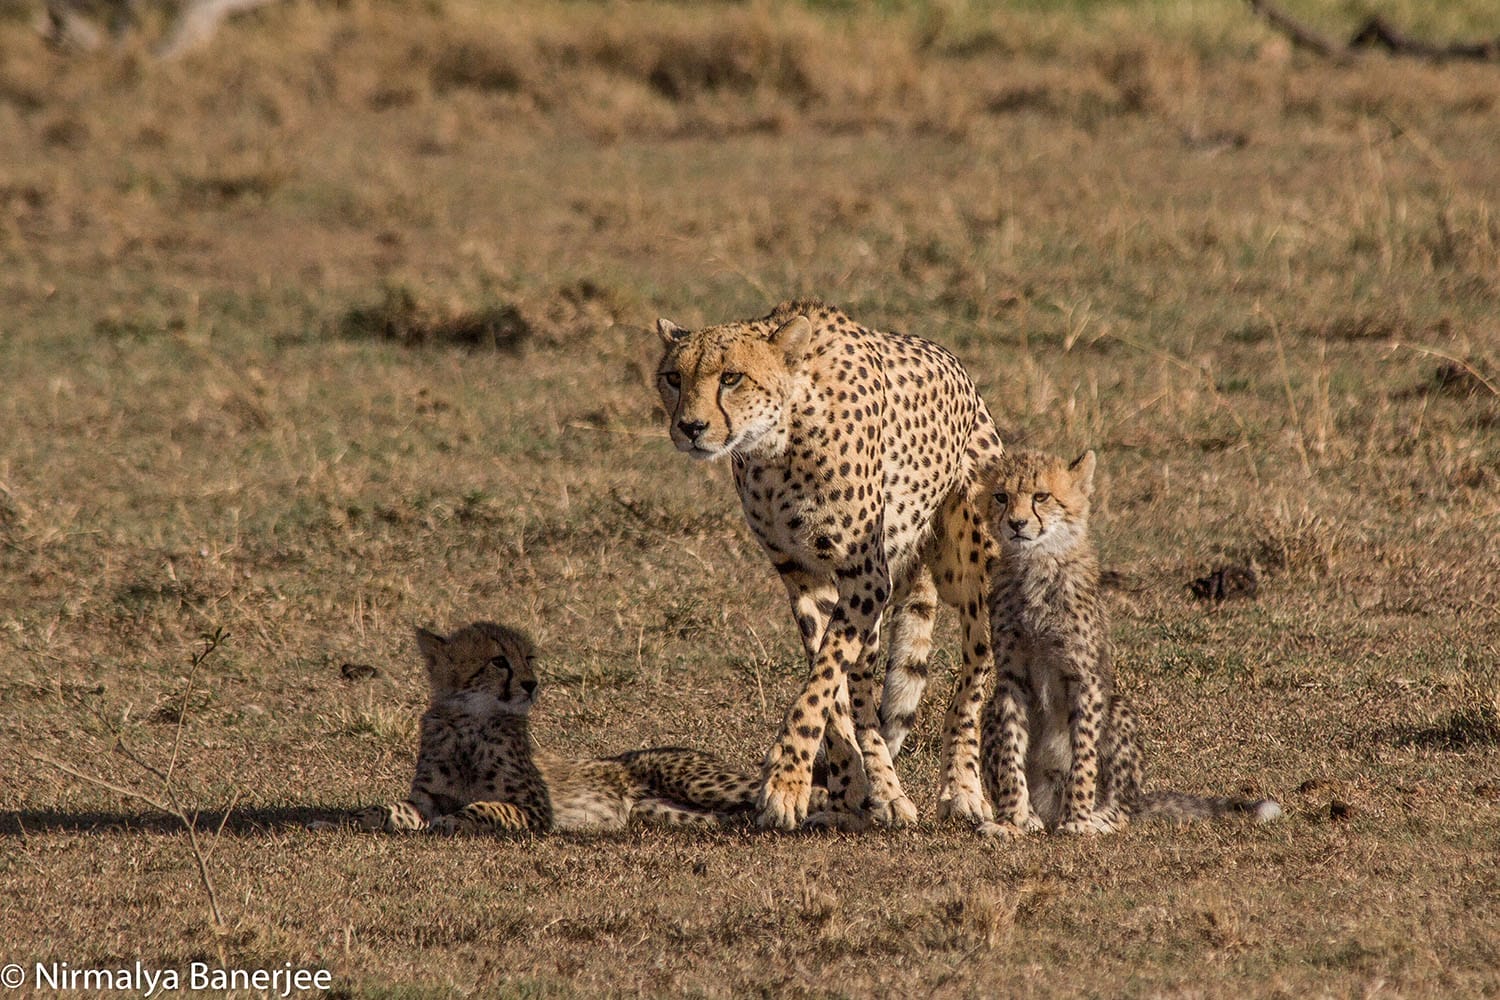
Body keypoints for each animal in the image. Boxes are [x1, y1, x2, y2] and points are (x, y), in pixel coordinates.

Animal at [357, 626, 768, 839]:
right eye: (499, 660)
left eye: (528, 659)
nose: (531, 684)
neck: (470, 723)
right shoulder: (426, 799)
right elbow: (395, 807)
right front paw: (361, 815)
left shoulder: (536, 811)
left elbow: (488, 806)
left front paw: (455, 819)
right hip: (661, 813)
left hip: (698, 781)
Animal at [657, 299, 1008, 827]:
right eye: (673, 378)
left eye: (732, 377)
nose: (691, 428)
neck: (777, 444)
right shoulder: (804, 577)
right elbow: (831, 689)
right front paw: (845, 789)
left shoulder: (866, 576)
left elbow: (821, 680)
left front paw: (784, 779)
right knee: (865, 688)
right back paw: (884, 790)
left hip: (974, 565)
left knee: (973, 676)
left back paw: (962, 789)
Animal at [984, 452, 1278, 839]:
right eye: (1001, 497)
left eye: (1041, 496)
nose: (1016, 524)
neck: (1037, 563)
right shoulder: (1010, 677)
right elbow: (1010, 750)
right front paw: (1012, 819)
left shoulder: (1086, 677)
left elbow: (1084, 754)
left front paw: (1077, 819)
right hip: (989, 712)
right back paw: (1034, 817)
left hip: (1119, 709)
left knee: (1122, 804)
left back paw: (1097, 817)